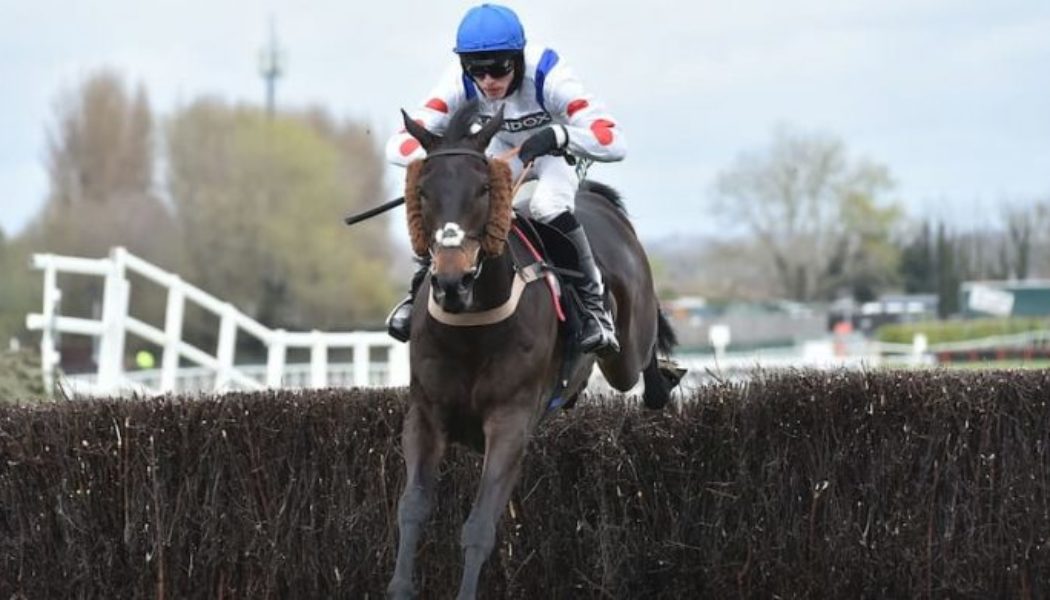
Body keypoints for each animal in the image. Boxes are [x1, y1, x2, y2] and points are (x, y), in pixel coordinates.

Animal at [387, 101, 681, 600]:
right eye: (422, 191)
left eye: (484, 188)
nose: (451, 282)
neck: (473, 325)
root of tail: (598, 201)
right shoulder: (426, 416)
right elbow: (411, 508)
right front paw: (400, 587)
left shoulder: (510, 421)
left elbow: (480, 526)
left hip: (625, 349)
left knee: (642, 360)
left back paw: (663, 382)